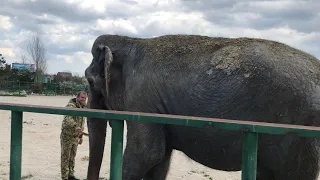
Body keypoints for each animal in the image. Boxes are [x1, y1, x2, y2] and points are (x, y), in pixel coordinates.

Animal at [83, 34, 320, 180]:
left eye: (90, 81)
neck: (130, 40)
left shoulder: (141, 99)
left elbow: (146, 154)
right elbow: (159, 160)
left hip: (299, 137)